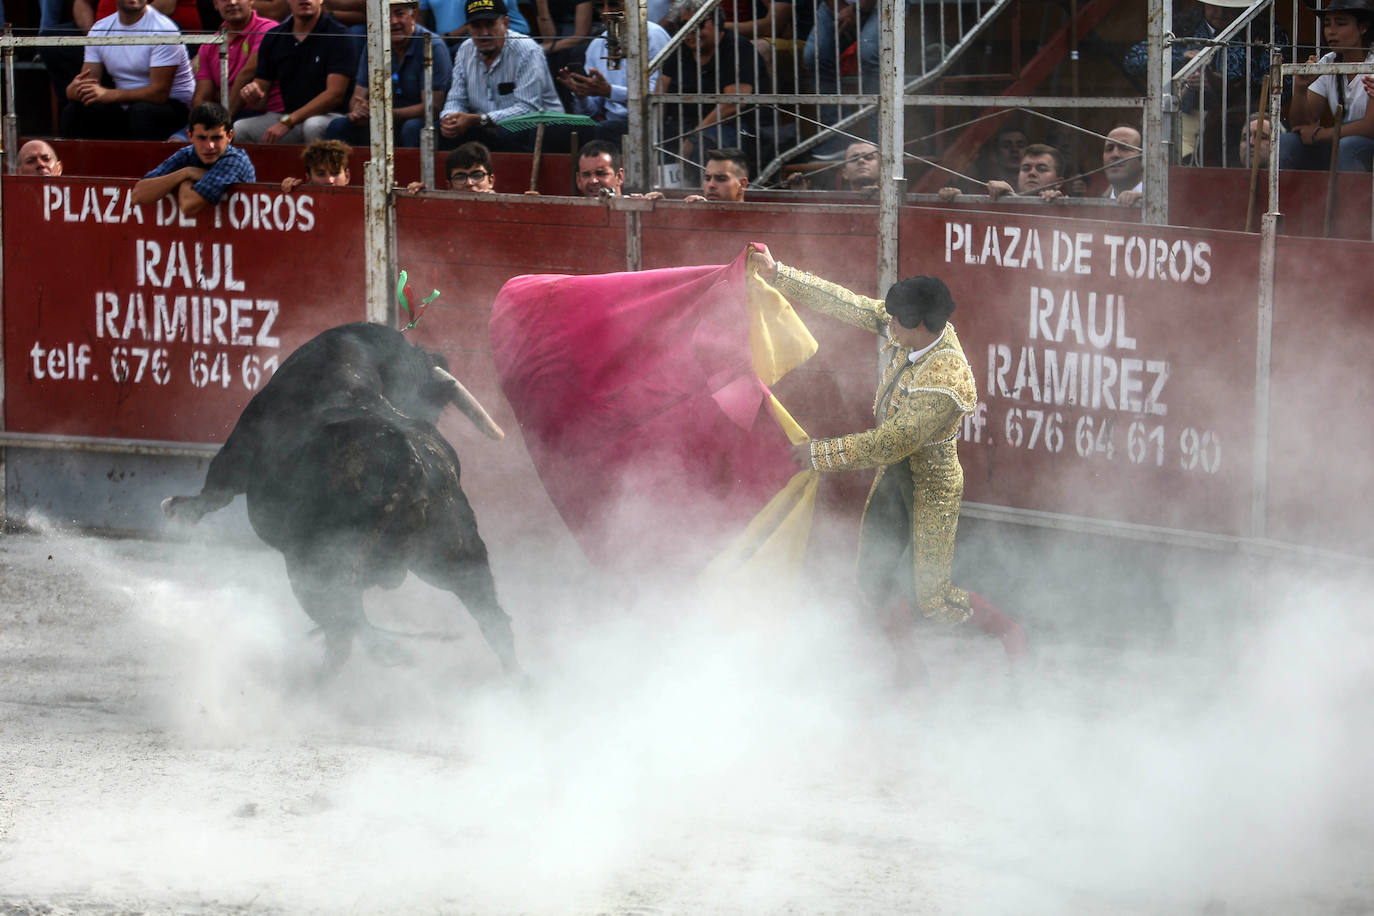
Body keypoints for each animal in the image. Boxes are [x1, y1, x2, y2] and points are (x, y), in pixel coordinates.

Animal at [160, 321, 522, 672]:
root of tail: (413, 466)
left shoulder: (239, 446)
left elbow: (216, 490)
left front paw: (176, 508)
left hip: (315, 561)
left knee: (345, 624)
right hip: (459, 552)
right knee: (492, 618)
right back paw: (520, 682)